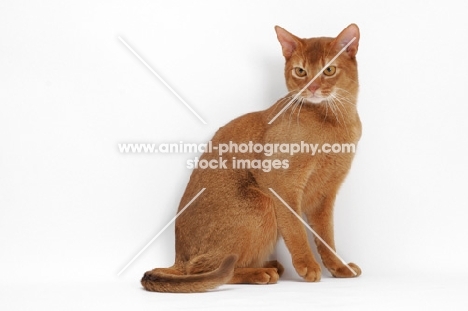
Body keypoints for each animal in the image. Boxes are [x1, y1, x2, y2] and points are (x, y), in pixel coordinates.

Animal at [142, 23, 362, 292]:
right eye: (300, 71)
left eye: (328, 69)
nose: (311, 88)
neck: (334, 121)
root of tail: (178, 258)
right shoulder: (282, 183)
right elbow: (297, 230)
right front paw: (308, 266)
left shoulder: (326, 193)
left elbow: (327, 236)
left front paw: (340, 268)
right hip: (260, 203)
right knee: (206, 269)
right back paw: (261, 273)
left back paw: (270, 265)